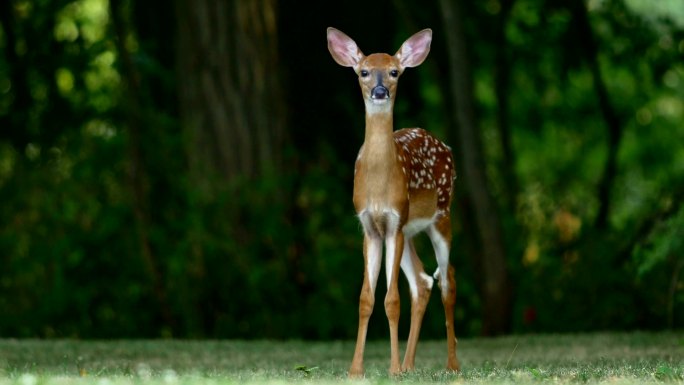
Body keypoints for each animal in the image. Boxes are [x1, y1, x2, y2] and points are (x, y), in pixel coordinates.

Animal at [326, 28, 460, 376]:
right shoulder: (371, 227)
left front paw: (393, 369)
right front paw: (356, 370)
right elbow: (366, 298)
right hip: (409, 230)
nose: (380, 90)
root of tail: (444, 145)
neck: (378, 184)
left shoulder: (394, 222)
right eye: (363, 71)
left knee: (447, 281)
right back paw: (412, 364)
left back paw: (451, 364)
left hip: (441, 215)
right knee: (423, 281)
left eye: (394, 71)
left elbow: (391, 300)